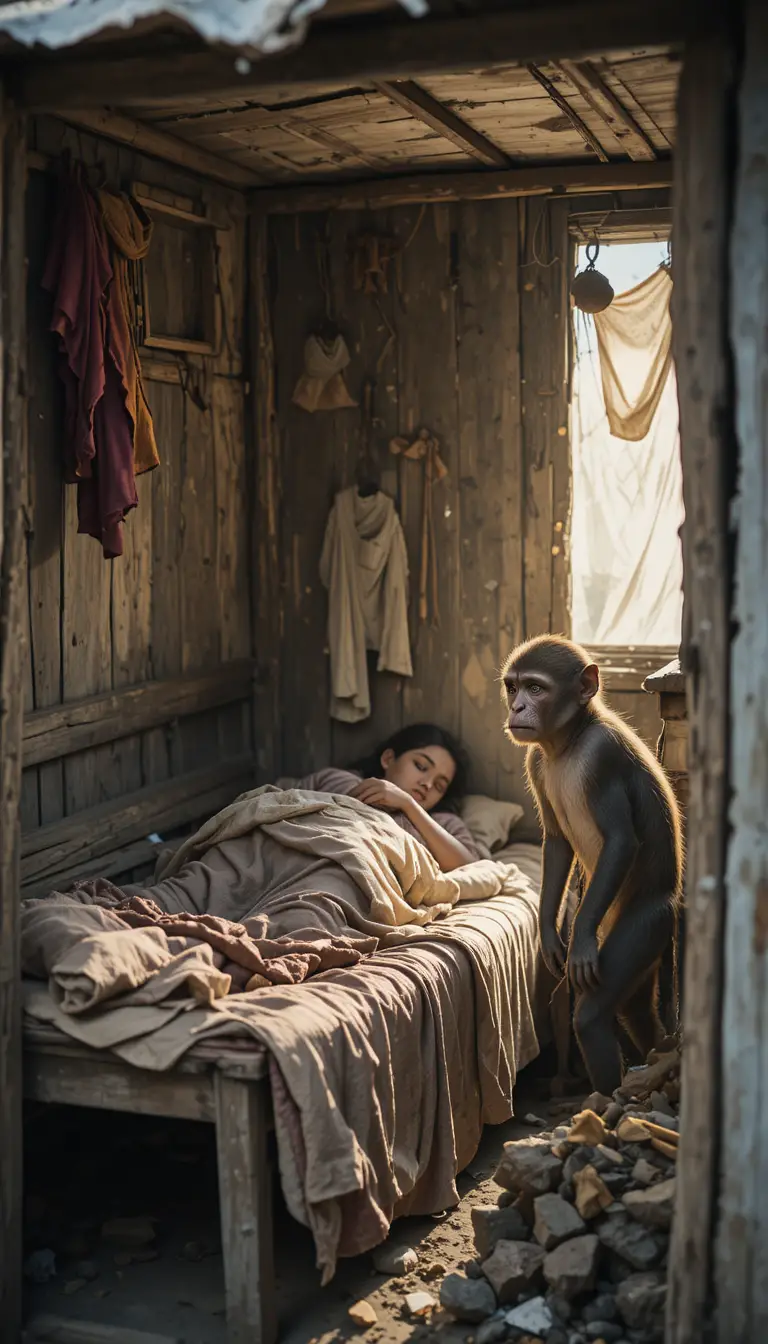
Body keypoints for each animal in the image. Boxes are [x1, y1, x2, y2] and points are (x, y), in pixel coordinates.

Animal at [501, 634, 683, 1097]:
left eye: (536, 689)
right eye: (513, 687)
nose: (517, 709)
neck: (571, 741)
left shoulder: (602, 756)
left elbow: (620, 842)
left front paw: (577, 939)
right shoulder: (535, 761)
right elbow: (557, 844)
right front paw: (550, 936)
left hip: (647, 924)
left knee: (594, 1014)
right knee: (635, 1009)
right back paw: (657, 1059)